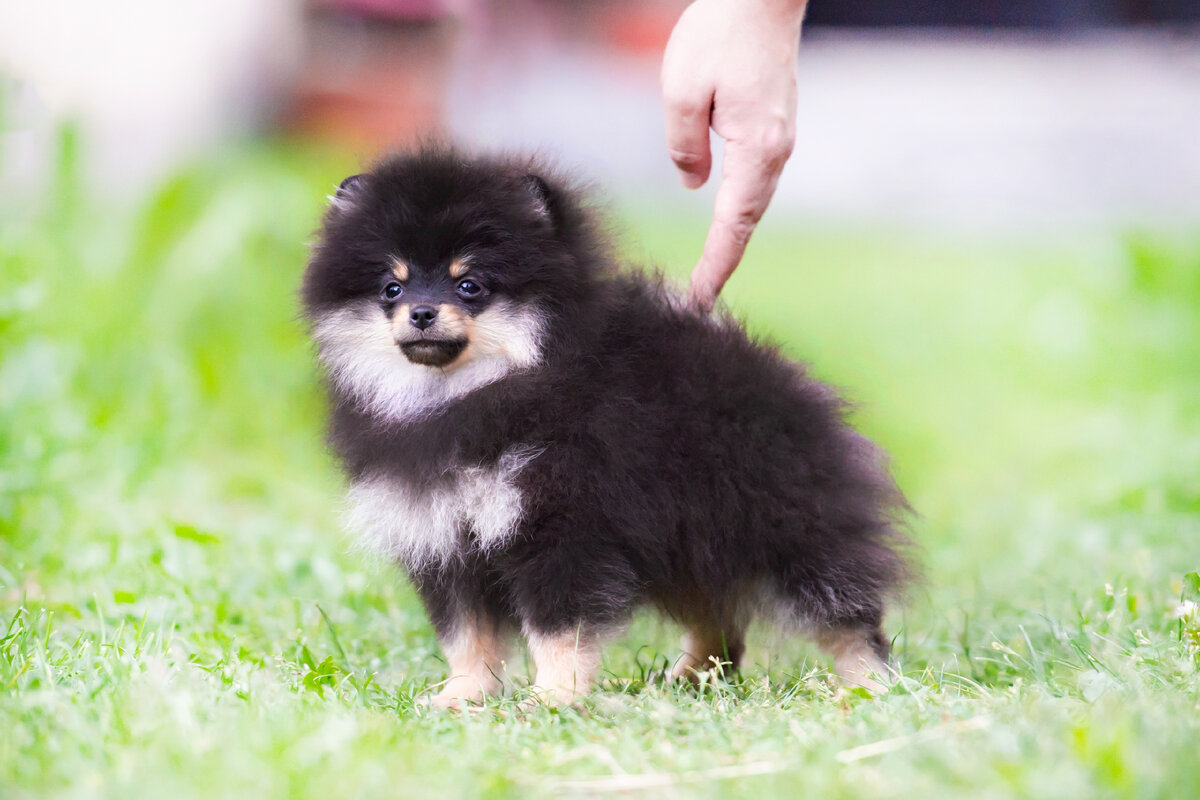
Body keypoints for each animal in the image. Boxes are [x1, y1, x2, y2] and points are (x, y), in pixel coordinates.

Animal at [302, 148, 907, 705]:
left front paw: (553, 697)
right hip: (686, 538)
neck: (467, 394)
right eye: (392, 287)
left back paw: (868, 686)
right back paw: (693, 677)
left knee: (843, 614)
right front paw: (464, 696)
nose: (422, 312)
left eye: (469, 284)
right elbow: (467, 636)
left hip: (788, 528)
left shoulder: (562, 524)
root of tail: (777, 375)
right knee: (718, 616)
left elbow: (558, 629)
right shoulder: (443, 538)